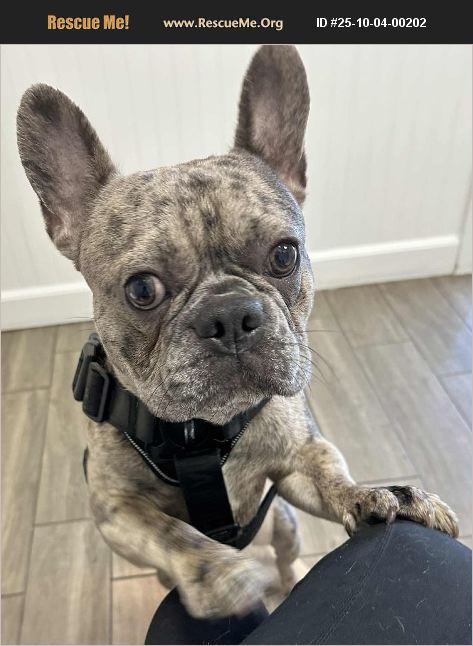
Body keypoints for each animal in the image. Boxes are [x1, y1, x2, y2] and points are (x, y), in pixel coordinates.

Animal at [16, 45, 459, 619]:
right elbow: (172, 534)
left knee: (288, 557)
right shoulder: (115, 512)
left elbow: (332, 476)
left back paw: (290, 579)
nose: (229, 315)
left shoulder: (298, 463)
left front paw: (376, 494)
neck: (204, 433)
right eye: (142, 289)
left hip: (287, 526)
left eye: (284, 255)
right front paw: (219, 573)